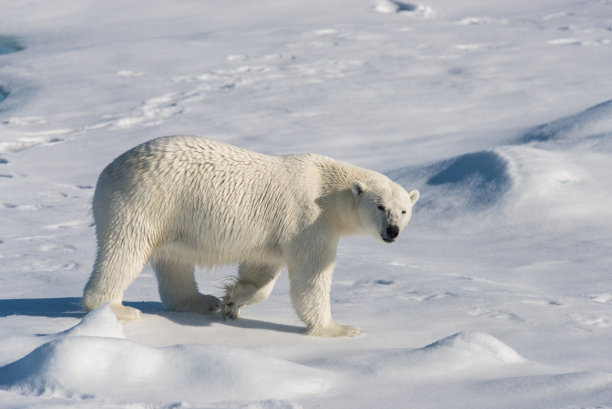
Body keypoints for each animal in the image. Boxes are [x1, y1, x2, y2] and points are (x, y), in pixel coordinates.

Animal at [82, 135, 420, 336]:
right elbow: (311, 277)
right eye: (380, 206)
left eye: (404, 210)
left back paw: (200, 301)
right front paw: (339, 329)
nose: (392, 231)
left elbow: (261, 270)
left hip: (171, 217)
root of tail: (107, 172)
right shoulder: (309, 220)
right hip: (144, 202)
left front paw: (232, 301)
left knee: (175, 261)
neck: (328, 188)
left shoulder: (276, 235)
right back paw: (117, 309)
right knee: (125, 250)